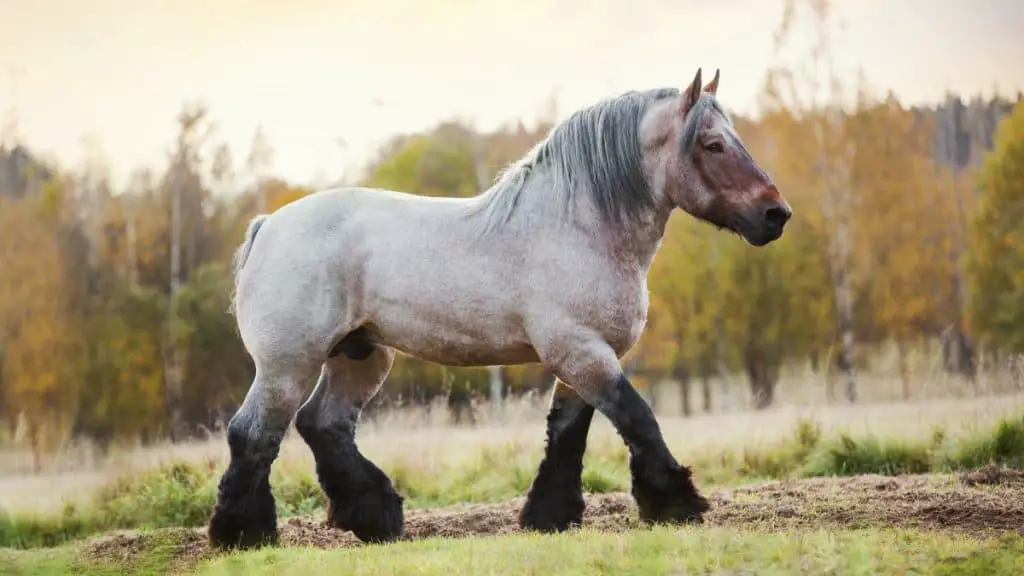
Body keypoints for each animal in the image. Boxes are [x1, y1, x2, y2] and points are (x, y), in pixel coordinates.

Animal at [207, 67, 794, 545]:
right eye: (713, 145)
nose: (776, 215)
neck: (577, 226)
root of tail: (268, 226)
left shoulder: (581, 357)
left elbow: (567, 434)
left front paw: (548, 517)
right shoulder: (580, 351)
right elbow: (638, 418)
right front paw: (676, 504)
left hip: (360, 355)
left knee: (322, 425)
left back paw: (376, 518)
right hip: (287, 365)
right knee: (253, 433)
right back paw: (244, 535)